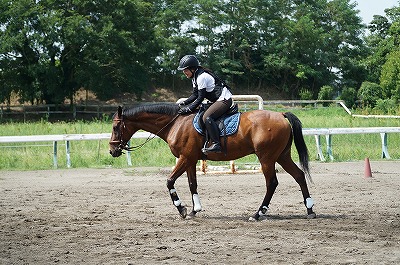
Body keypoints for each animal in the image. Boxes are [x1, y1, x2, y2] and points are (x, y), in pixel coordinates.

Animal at [108, 102, 316, 220]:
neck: (176, 123)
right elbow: (192, 184)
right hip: (282, 156)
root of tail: (281, 115)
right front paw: (195, 210)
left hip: (267, 158)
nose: (112, 150)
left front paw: (181, 209)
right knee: (299, 175)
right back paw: (310, 210)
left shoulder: (184, 158)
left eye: (116, 127)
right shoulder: (190, 160)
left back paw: (258, 214)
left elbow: (169, 181)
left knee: (272, 183)